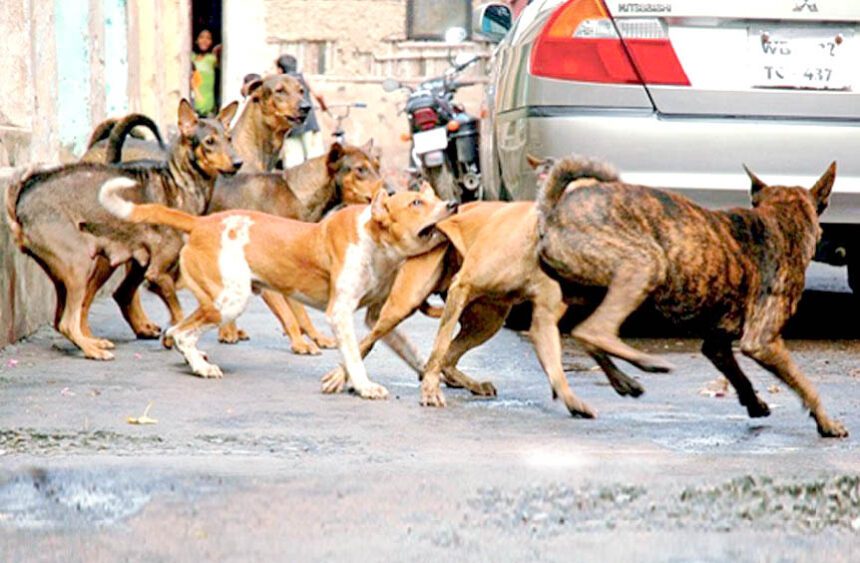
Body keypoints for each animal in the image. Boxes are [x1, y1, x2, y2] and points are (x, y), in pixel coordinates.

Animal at [6, 99, 242, 360]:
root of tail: (22, 199)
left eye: (229, 138)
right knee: (69, 321)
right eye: (209, 141)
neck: (180, 184)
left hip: (67, 274)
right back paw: (93, 349)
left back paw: (93, 342)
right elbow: (180, 313)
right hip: (81, 265)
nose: (238, 163)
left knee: (61, 320)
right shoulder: (156, 274)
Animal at [100, 180, 456, 396]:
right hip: (230, 301)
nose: (453, 204)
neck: (374, 239)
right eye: (416, 202)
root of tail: (201, 223)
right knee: (183, 332)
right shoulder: (339, 314)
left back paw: (194, 360)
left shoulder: (377, 315)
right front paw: (365, 386)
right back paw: (202, 367)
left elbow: (410, 349)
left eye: (435, 197)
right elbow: (355, 356)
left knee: (176, 331)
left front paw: (438, 375)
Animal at [208, 140, 386, 352]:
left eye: (377, 166)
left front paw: (317, 338)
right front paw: (300, 343)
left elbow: (301, 313)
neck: (299, 196)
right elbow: (289, 315)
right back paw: (227, 332)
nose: (391, 192)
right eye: (360, 169)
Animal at [536, 156, 848, 438]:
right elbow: (806, 385)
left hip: (590, 293)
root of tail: (552, 215)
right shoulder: (762, 342)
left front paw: (755, 403)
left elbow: (739, 376)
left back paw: (625, 381)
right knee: (594, 331)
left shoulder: (717, 344)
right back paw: (648, 363)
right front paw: (827, 423)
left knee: (583, 333)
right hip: (645, 263)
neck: (780, 219)